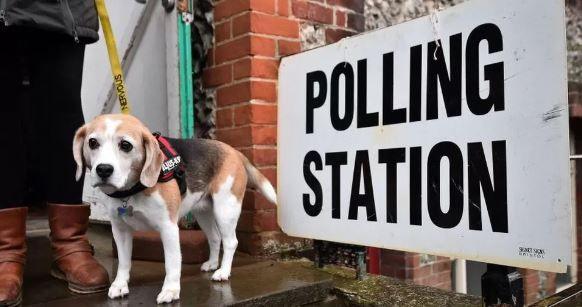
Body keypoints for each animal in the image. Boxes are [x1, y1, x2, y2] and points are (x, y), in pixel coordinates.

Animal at [73, 114, 278, 304]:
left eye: (125, 145)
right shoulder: (120, 230)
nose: (103, 170)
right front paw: (120, 285)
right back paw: (212, 264)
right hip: (203, 213)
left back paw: (223, 271)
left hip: (225, 209)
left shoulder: (168, 228)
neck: (132, 190)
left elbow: (171, 263)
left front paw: (170, 291)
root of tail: (233, 150)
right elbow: (123, 262)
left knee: (230, 242)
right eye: (92, 142)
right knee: (215, 238)